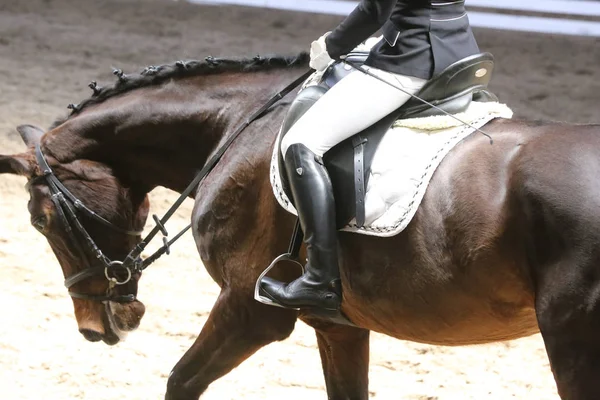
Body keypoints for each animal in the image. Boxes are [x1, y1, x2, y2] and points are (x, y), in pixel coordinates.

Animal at [1, 53, 600, 400]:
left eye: (41, 220)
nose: (94, 328)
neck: (235, 125)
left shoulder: (248, 310)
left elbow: (180, 382)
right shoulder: (338, 326)